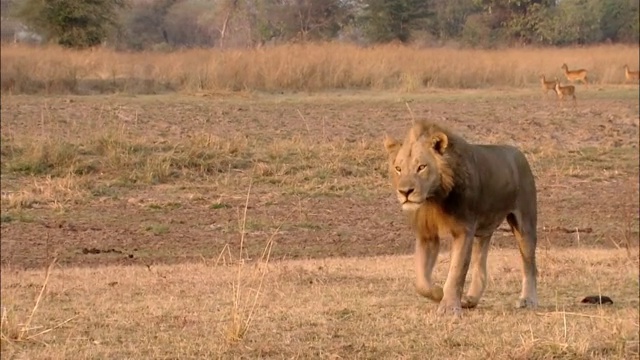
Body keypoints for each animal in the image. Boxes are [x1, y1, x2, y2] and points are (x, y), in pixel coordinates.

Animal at [382, 120, 536, 316]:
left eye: (421, 167)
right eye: (398, 169)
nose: (405, 192)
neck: (434, 197)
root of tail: (519, 152)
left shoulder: (464, 230)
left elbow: (457, 270)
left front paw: (449, 307)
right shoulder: (427, 234)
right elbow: (421, 280)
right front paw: (438, 293)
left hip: (525, 223)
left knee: (529, 264)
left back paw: (528, 299)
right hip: (483, 230)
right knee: (480, 265)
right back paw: (470, 299)